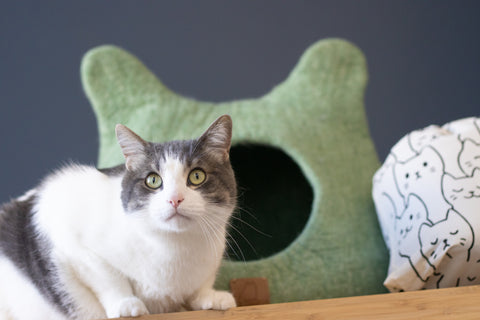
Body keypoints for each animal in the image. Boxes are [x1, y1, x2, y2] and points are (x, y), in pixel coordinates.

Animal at [0, 115, 238, 320]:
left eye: (197, 176)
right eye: (153, 180)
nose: (175, 199)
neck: (175, 248)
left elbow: (201, 285)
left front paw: (210, 297)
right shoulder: (73, 242)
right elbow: (108, 277)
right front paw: (126, 304)